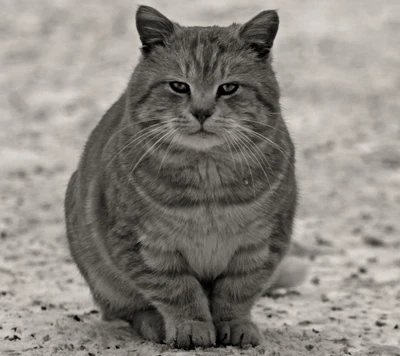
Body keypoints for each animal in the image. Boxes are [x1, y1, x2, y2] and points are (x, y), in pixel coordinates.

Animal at [65, 5, 306, 350]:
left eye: (228, 88)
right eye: (179, 86)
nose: (202, 112)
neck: (208, 184)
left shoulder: (261, 244)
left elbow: (237, 292)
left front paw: (235, 325)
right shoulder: (145, 246)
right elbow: (178, 291)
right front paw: (191, 327)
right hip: (103, 275)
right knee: (130, 310)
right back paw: (154, 324)